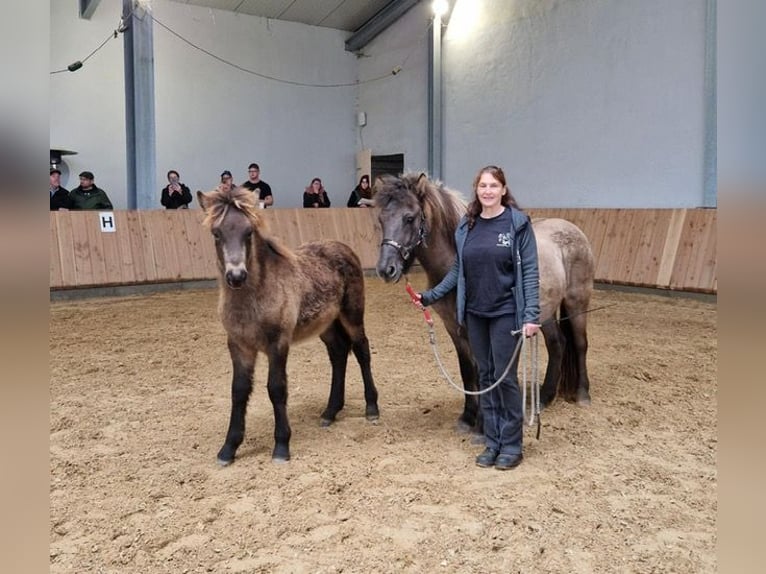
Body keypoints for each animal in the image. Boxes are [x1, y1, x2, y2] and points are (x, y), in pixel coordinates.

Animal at [196, 187, 380, 466]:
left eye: (248, 232)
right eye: (217, 233)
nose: (236, 276)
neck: (254, 298)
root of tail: (343, 247)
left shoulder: (278, 343)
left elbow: (276, 388)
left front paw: (281, 446)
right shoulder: (239, 345)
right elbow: (238, 391)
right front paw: (228, 448)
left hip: (352, 316)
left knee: (361, 351)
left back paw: (372, 408)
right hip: (326, 325)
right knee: (338, 354)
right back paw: (330, 411)